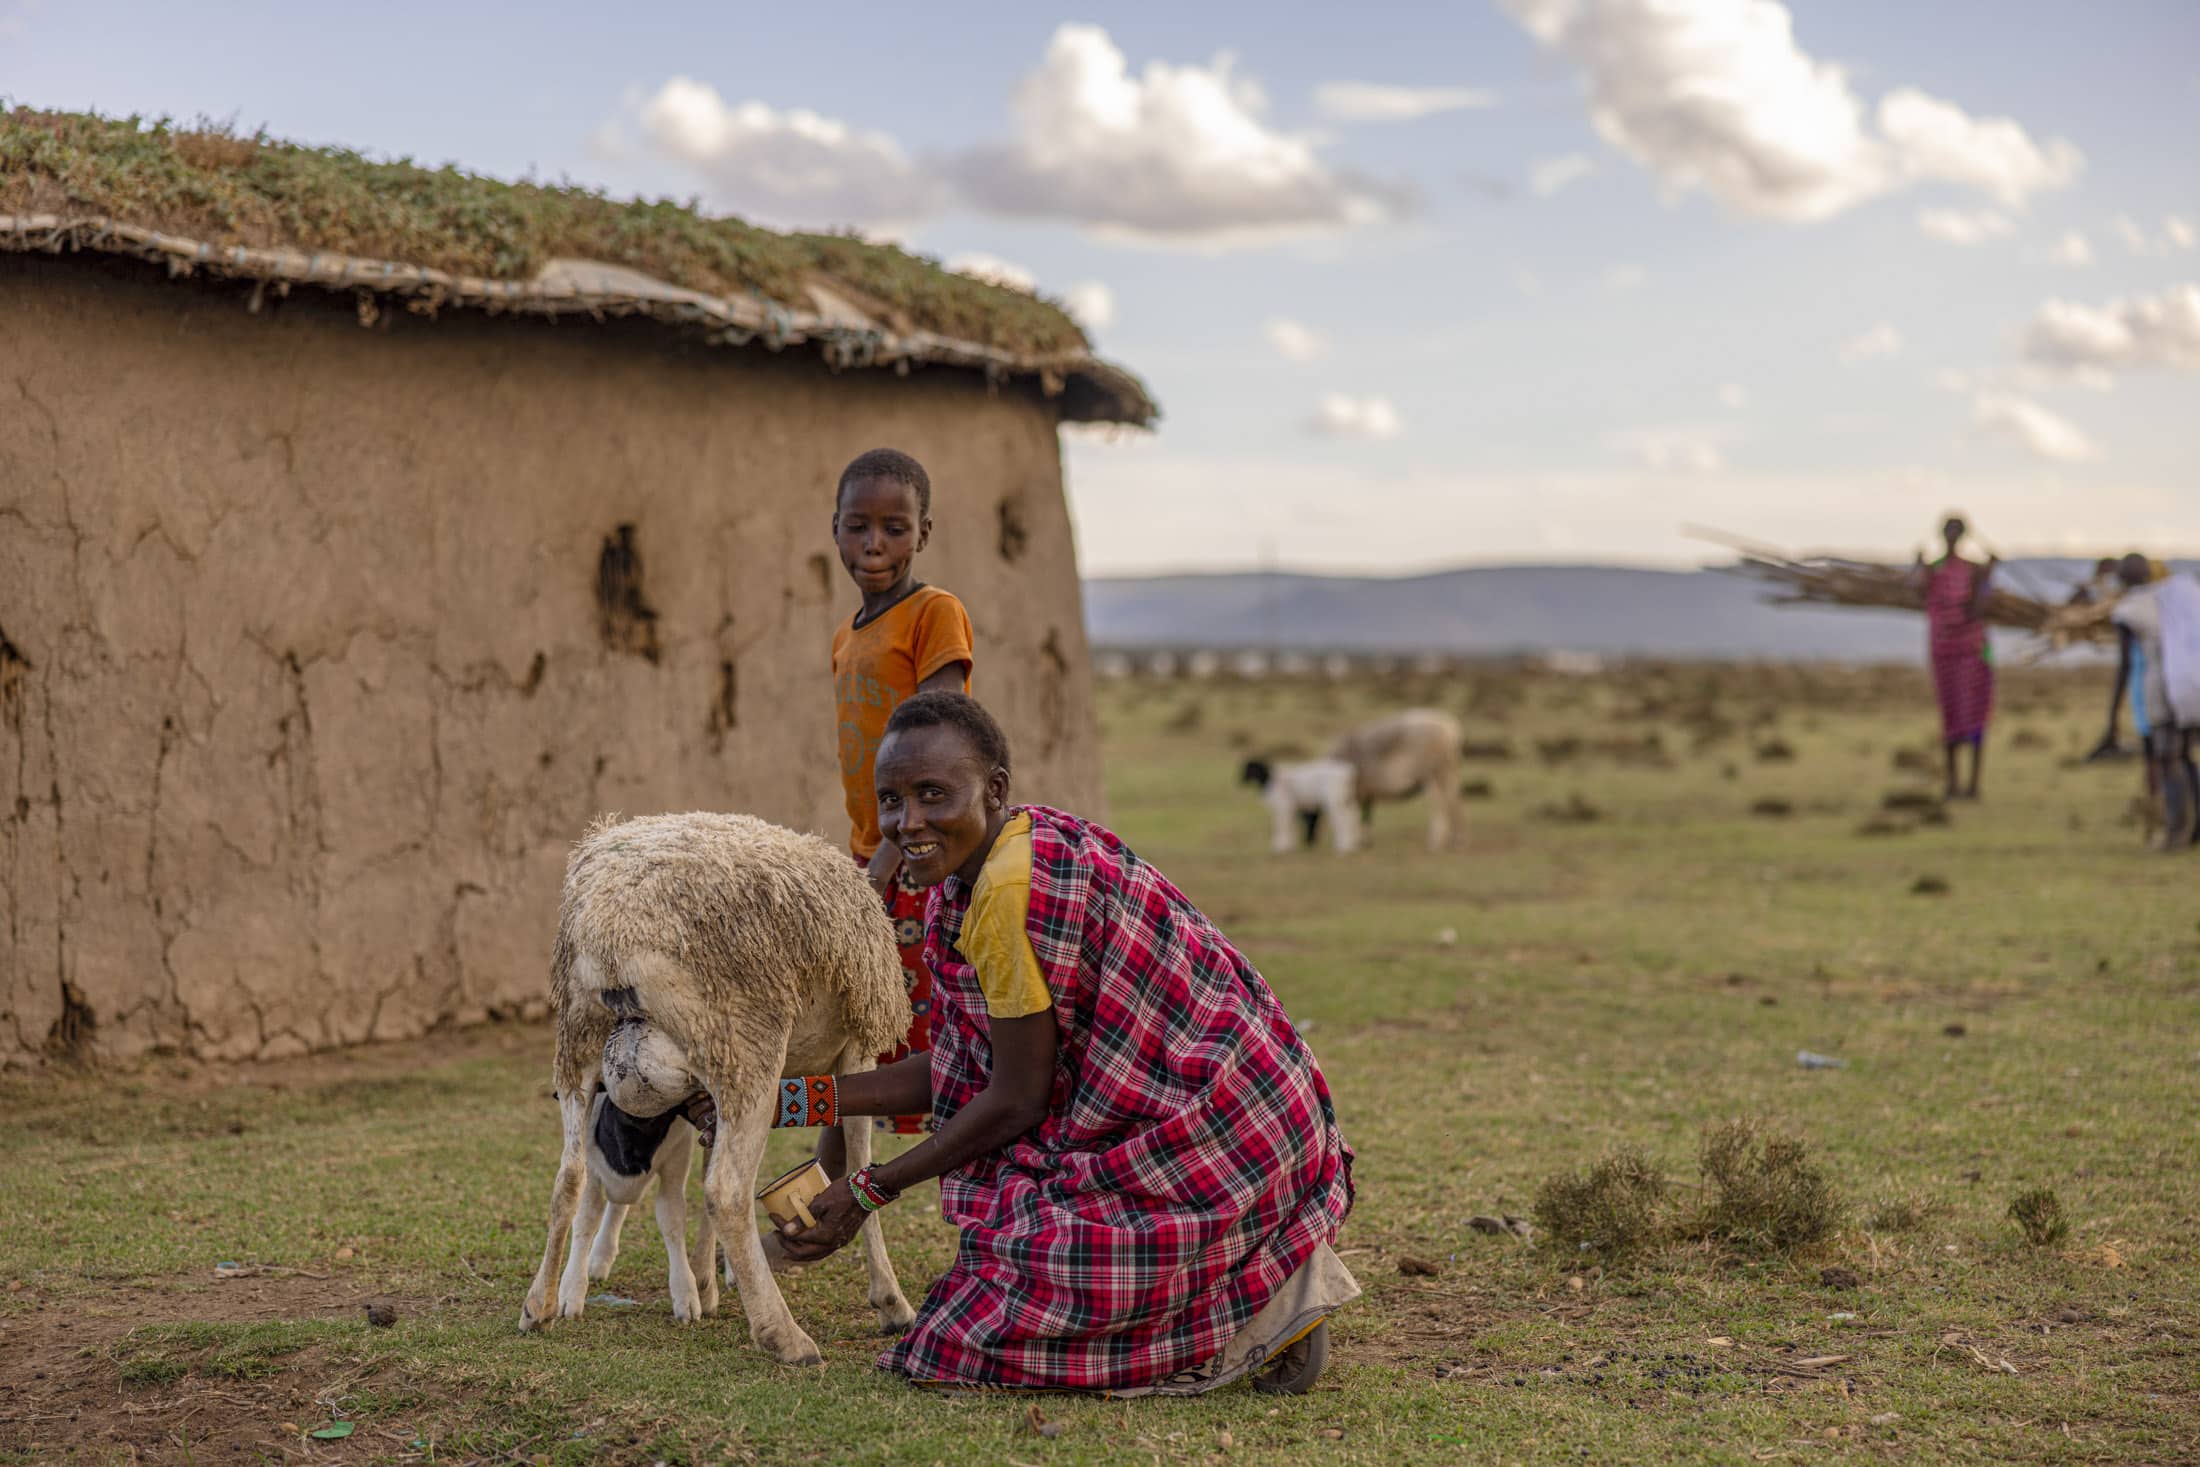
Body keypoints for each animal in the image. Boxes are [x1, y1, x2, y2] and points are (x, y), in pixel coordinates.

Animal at [519, 804, 915, 1363]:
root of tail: (615, 929)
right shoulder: (857, 1045)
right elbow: (858, 1152)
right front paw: (890, 1301)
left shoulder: (708, 1088)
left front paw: (704, 1281)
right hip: (747, 1042)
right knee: (727, 1190)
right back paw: (784, 1335)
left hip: (580, 1045)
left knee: (569, 1178)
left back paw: (540, 1305)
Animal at [1320, 708, 1460, 853]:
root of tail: (1451, 729)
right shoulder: (1366, 793)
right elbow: (1366, 816)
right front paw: (1366, 843)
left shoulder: (1358, 792)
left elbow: (1359, 817)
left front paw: (1361, 842)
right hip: (1449, 772)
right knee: (1454, 802)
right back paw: (1456, 842)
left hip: (1433, 773)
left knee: (1440, 805)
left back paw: (1435, 844)